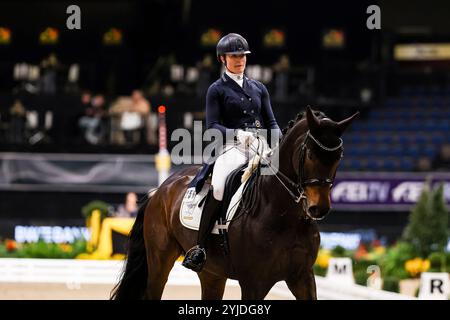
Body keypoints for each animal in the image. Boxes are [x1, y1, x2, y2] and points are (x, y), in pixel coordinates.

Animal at [112, 107, 358, 300]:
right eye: (309, 155)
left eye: (339, 157)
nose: (319, 208)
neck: (283, 215)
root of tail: (161, 189)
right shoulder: (253, 282)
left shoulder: (303, 277)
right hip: (160, 260)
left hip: (212, 272)